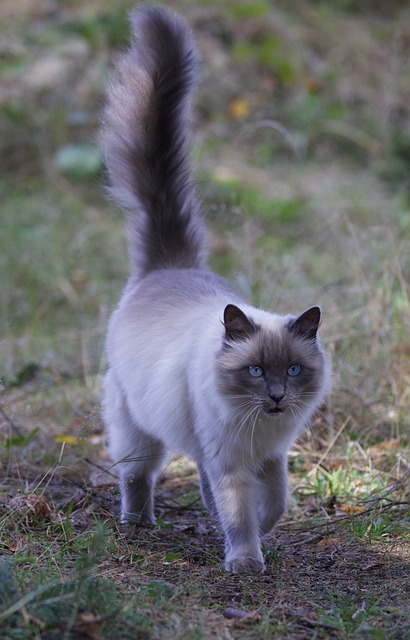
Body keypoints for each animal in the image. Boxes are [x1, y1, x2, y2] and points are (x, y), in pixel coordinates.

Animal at [101, 3, 332, 576]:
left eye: (293, 371)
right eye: (255, 371)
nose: (276, 398)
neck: (256, 428)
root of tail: (170, 266)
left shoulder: (270, 456)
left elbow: (276, 502)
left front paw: (263, 538)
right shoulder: (226, 458)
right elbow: (237, 513)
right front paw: (246, 561)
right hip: (137, 427)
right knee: (137, 474)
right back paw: (138, 524)